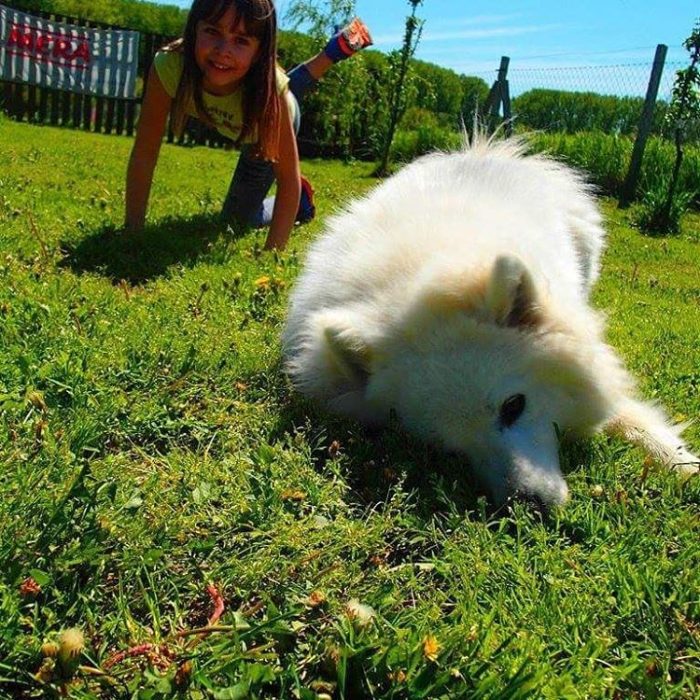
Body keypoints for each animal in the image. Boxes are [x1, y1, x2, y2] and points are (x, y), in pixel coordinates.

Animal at [282, 137, 696, 506]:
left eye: (513, 406)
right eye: (450, 449)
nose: (525, 505)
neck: (415, 277)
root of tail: (484, 150)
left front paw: (680, 462)